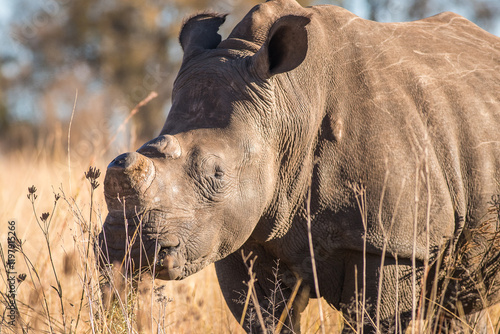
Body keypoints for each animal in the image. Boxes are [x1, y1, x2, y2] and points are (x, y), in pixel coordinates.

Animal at [97, 0, 500, 332]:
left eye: (217, 174)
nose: (125, 247)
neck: (289, 105)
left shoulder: (390, 243)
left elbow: (375, 318)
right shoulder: (241, 239)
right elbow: (264, 319)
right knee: (461, 301)